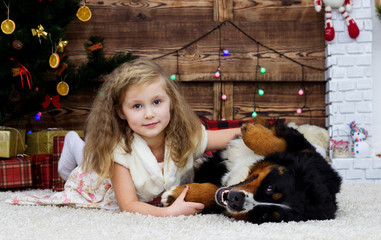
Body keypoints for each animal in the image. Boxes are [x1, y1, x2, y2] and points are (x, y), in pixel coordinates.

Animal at [161, 120, 342, 223]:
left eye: (266, 216)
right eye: (270, 187)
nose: (236, 200)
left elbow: (213, 193)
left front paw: (177, 195)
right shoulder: (307, 153)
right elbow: (280, 143)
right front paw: (251, 129)